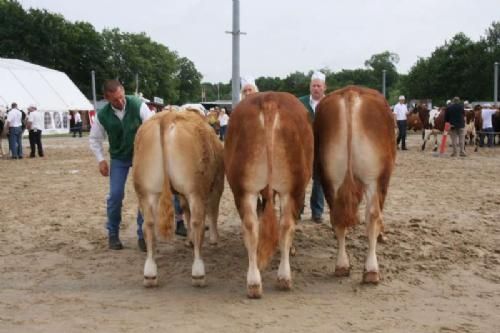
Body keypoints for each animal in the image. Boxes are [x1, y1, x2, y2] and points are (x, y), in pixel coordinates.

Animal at [135, 110, 225, 286]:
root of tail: (167, 116)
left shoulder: (183, 195)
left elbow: (185, 211)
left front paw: (188, 240)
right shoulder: (218, 185)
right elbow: (213, 212)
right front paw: (214, 240)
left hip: (146, 191)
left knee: (148, 225)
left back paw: (150, 273)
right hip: (195, 189)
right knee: (198, 222)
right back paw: (198, 272)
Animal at [226, 91, 312, 298]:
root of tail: (269, 99)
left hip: (243, 188)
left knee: (251, 226)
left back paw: (254, 283)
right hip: (293, 188)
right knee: (286, 225)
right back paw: (284, 278)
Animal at [314, 85, 396, 282]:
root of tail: (350, 92)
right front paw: (382, 235)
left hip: (331, 177)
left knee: (337, 216)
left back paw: (342, 265)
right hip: (375, 178)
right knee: (373, 215)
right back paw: (371, 271)